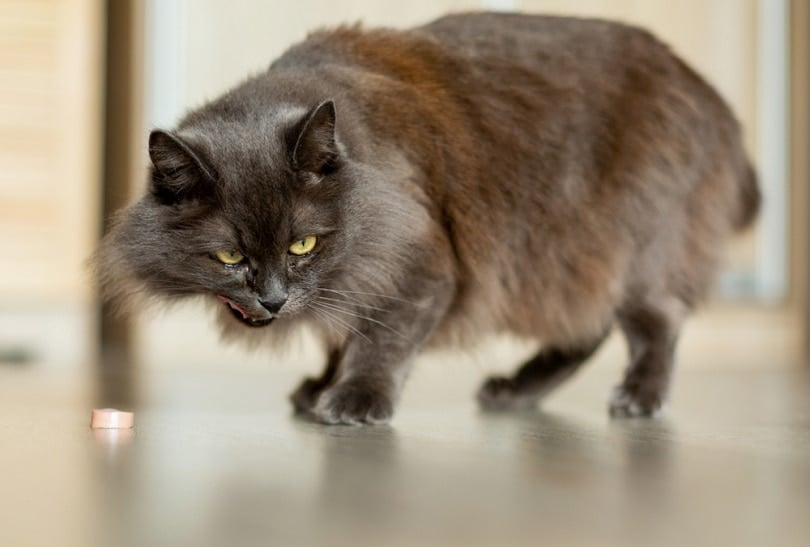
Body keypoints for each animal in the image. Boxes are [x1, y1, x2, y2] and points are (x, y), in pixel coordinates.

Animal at [94, 11, 756, 424]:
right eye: (231, 256)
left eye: (303, 246)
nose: (274, 299)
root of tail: (709, 94)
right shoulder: (358, 279)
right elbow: (345, 331)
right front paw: (321, 386)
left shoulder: (419, 266)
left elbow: (378, 339)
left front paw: (354, 400)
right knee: (586, 328)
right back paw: (515, 390)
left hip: (629, 241)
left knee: (656, 321)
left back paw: (638, 396)